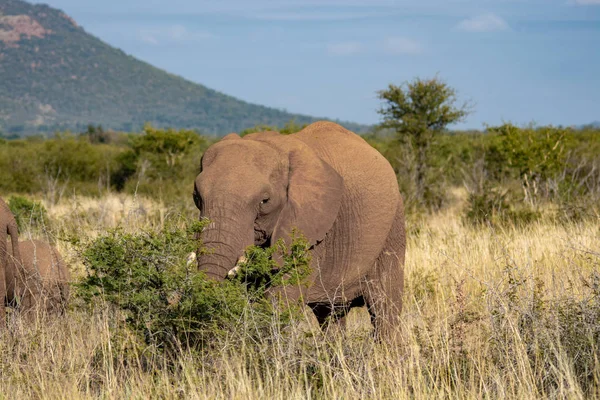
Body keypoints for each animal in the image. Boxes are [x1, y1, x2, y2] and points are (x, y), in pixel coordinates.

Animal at [195, 120, 406, 340]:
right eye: (196, 197)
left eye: (264, 201)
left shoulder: (308, 228)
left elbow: (281, 297)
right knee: (330, 314)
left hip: (393, 226)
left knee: (384, 304)